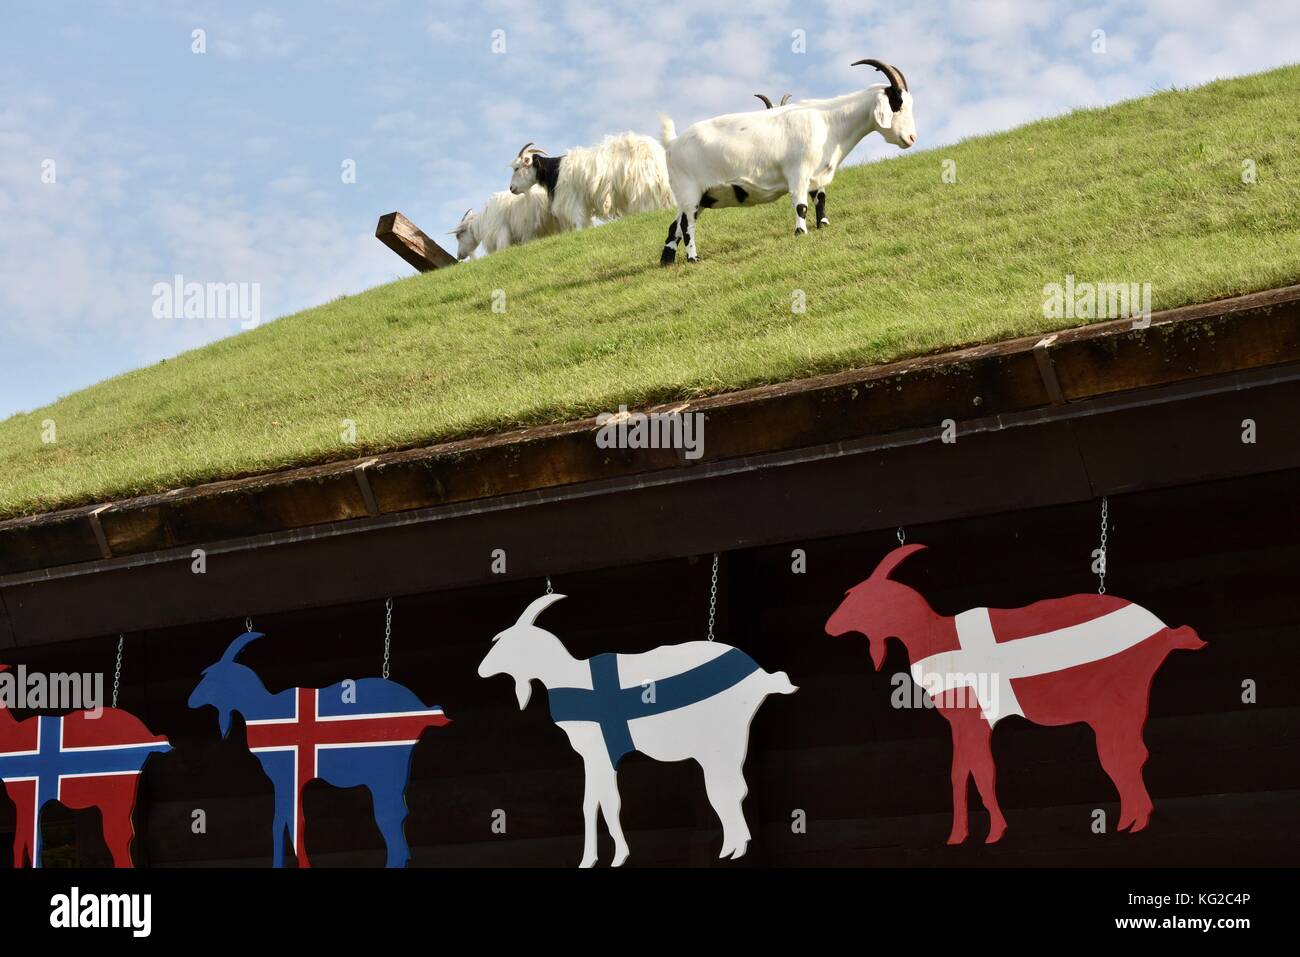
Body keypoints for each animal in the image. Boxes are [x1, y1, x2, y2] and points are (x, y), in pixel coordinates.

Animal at [483, 590, 795, 868]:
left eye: (503, 642)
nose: (480, 669)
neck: (571, 678)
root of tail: (761, 676)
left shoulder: (601, 753)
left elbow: (608, 802)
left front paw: (617, 855)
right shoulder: (593, 757)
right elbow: (592, 803)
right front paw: (589, 860)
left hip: (721, 744)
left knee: (726, 790)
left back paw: (734, 848)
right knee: (732, 790)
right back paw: (733, 847)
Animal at [506, 131, 676, 232]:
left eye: (517, 168)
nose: (511, 188)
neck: (555, 171)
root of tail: (658, 153)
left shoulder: (572, 201)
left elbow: (577, 222)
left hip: (642, 187)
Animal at [660, 60, 915, 263]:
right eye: (897, 102)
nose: (911, 138)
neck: (828, 121)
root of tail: (671, 145)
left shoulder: (816, 175)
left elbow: (820, 199)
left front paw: (823, 225)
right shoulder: (798, 171)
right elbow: (801, 205)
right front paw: (801, 232)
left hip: (701, 196)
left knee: (676, 225)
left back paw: (667, 260)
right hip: (690, 191)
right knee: (687, 225)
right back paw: (693, 258)